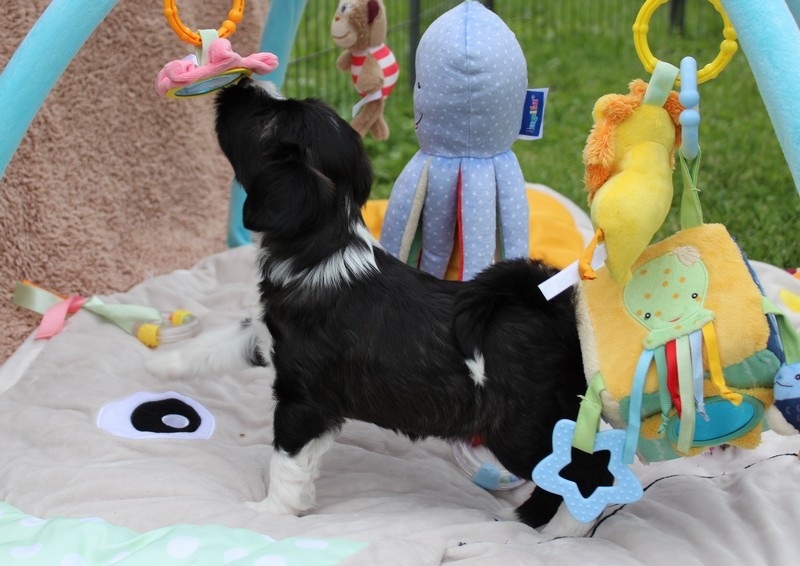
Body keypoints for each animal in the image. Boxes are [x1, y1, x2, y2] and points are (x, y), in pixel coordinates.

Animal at [153, 78, 612, 534]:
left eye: (267, 119)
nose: (244, 81)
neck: (320, 247)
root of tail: (550, 309)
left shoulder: (301, 400)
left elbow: (286, 461)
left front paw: (269, 512)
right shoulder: (268, 337)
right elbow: (217, 345)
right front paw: (164, 363)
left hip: (521, 429)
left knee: (582, 474)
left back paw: (558, 533)